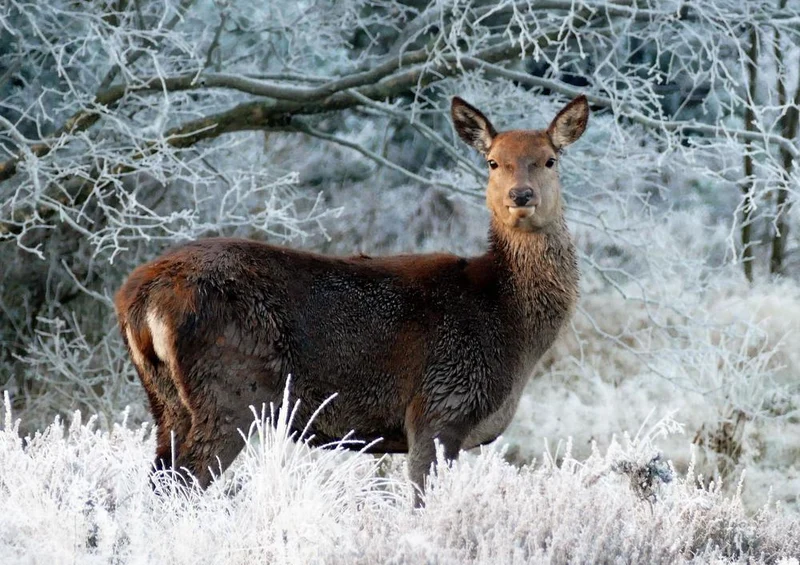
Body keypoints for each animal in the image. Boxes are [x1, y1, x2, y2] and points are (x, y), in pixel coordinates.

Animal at [115, 94, 588, 505]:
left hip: (166, 401)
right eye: (493, 162)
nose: (520, 196)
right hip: (230, 389)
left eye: (550, 159)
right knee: (182, 485)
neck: (508, 321)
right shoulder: (439, 407)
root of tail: (138, 298)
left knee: (158, 482)